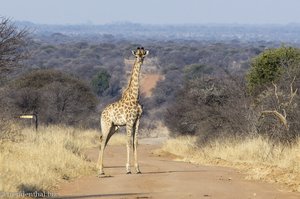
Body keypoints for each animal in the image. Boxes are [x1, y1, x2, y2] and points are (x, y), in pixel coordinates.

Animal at [97, 45, 149, 175]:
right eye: (136, 55)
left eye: (143, 55)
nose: (140, 60)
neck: (135, 96)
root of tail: (102, 113)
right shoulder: (129, 121)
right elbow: (128, 142)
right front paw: (128, 169)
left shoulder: (137, 121)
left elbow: (135, 142)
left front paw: (138, 168)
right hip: (106, 124)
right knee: (102, 141)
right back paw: (100, 170)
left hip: (114, 127)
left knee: (104, 141)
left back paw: (99, 168)